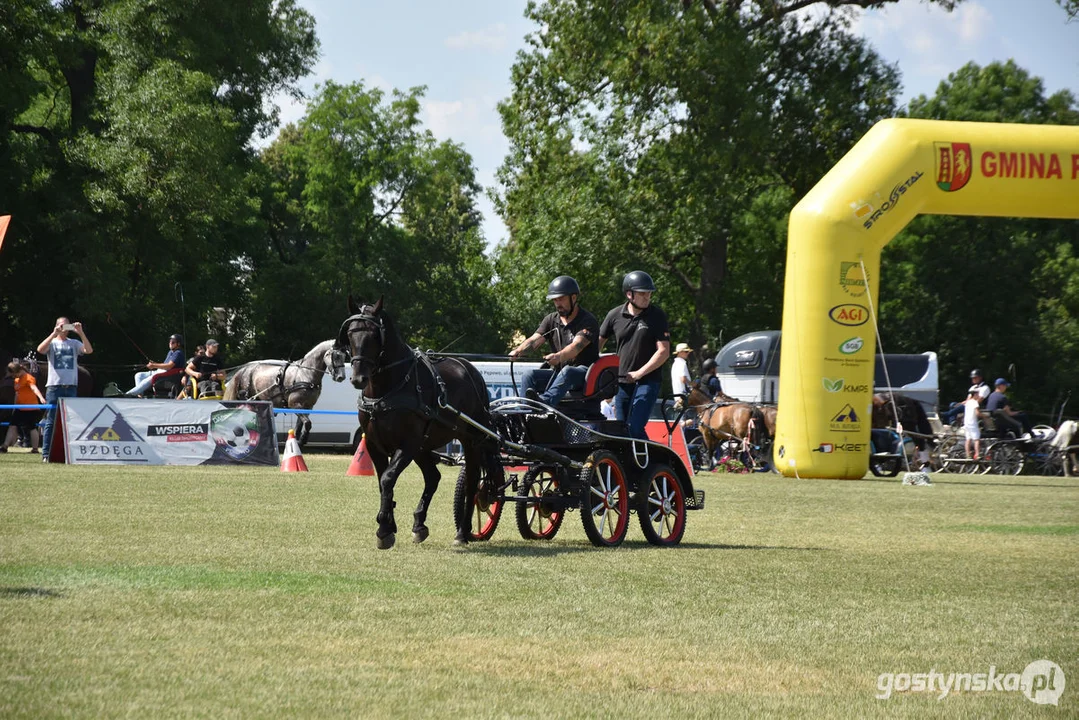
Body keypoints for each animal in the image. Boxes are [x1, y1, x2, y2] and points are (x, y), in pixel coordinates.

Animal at [336, 295, 500, 548]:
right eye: (351, 333)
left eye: (374, 335)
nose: (358, 378)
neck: (387, 389)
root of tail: (470, 370)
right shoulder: (374, 444)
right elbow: (383, 482)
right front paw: (388, 525)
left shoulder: (408, 444)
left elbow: (388, 478)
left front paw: (384, 528)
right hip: (424, 445)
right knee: (433, 477)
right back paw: (419, 525)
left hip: (470, 440)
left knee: (472, 482)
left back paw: (462, 532)